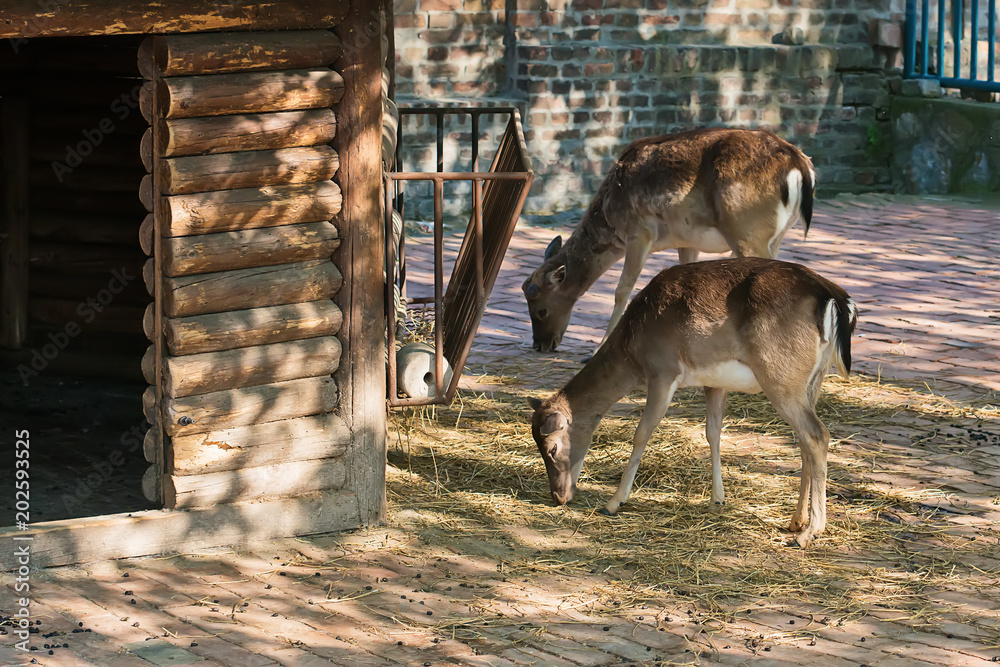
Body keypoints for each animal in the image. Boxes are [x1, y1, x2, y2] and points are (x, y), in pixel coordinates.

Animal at [522, 127, 816, 353]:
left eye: (541, 311)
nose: (541, 344)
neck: (609, 215)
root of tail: (800, 166)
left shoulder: (639, 231)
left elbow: (622, 289)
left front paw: (598, 349)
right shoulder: (685, 240)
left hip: (746, 228)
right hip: (772, 235)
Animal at [527, 257, 857, 548]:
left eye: (552, 447)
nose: (558, 496)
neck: (632, 350)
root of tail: (836, 299)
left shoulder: (663, 371)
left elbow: (642, 433)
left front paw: (614, 502)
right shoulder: (714, 383)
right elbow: (713, 433)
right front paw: (717, 500)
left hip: (780, 375)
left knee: (817, 434)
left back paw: (809, 533)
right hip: (812, 379)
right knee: (804, 441)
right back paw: (795, 521)